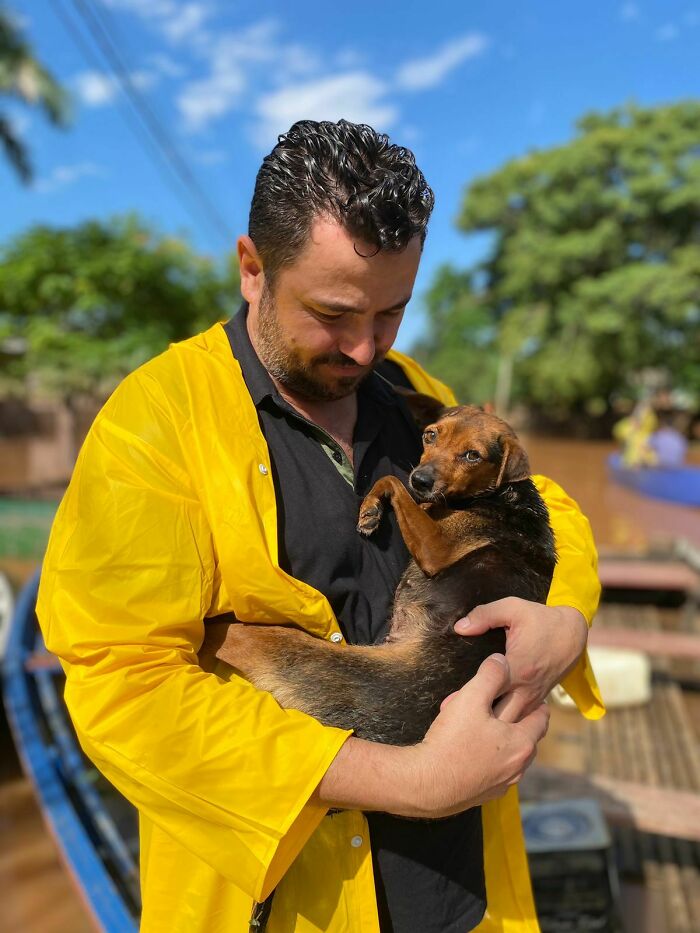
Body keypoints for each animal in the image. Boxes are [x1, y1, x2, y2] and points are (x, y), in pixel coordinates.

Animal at [202, 396, 556, 748]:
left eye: (473, 455)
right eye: (430, 436)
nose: (421, 480)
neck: (504, 494)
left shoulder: (437, 546)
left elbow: (392, 481)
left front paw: (372, 508)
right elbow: (399, 487)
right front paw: (372, 509)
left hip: (294, 650)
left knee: (234, 636)